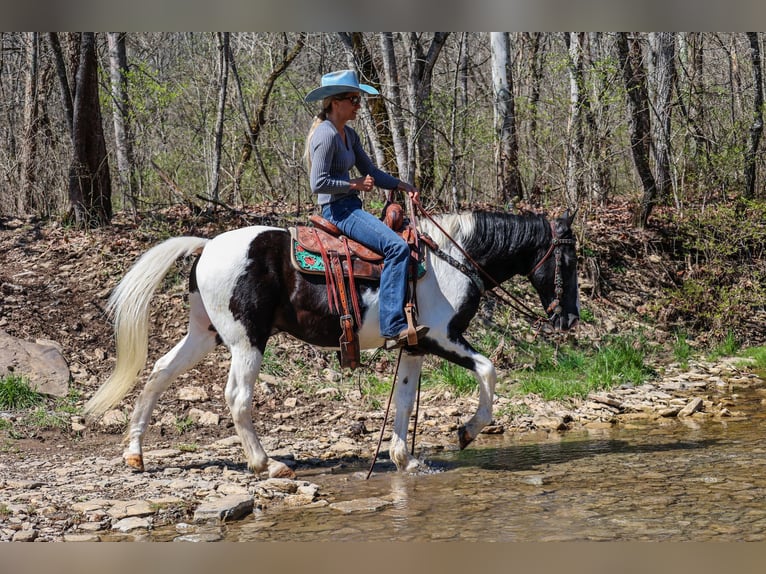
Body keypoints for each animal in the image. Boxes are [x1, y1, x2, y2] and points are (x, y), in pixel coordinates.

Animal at [84, 209, 580, 480]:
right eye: (569, 259)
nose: (570, 318)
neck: (449, 259)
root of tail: (206, 246)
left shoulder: (414, 345)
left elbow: (403, 402)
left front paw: (404, 460)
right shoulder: (442, 336)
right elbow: (488, 370)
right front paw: (467, 430)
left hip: (204, 333)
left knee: (159, 373)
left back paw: (134, 453)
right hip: (247, 341)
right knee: (237, 398)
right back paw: (267, 464)